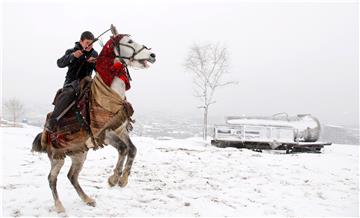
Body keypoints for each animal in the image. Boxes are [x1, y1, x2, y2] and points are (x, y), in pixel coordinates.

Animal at [30, 27, 155, 213]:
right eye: (130, 42)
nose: (153, 55)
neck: (107, 96)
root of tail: (45, 132)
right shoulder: (103, 133)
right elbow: (123, 148)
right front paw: (114, 178)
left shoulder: (119, 129)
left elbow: (131, 149)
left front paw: (122, 179)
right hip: (57, 157)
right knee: (52, 178)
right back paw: (59, 206)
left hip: (78, 153)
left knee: (72, 176)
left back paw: (87, 199)